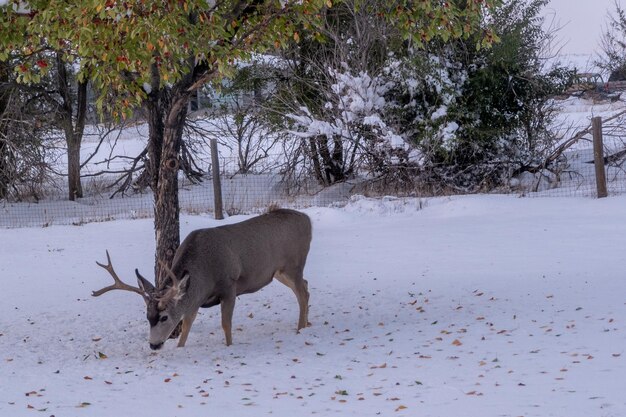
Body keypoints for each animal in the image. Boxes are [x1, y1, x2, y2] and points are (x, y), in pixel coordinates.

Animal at [92, 208, 312, 348]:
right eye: (147, 317)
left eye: (164, 317)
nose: (154, 345)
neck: (205, 273)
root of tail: (307, 219)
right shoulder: (195, 298)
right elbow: (186, 326)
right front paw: (180, 347)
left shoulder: (229, 285)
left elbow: (226, 324)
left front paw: (229, 346)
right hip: (279, 272)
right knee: (306, 286)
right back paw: (307, 324)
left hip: (293, 264)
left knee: (302, 293)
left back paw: (300, 328)